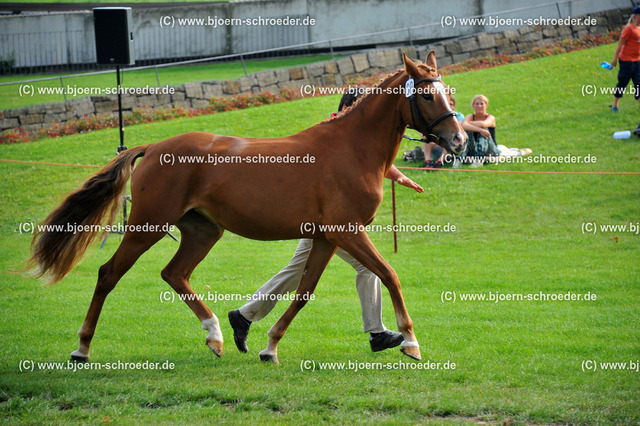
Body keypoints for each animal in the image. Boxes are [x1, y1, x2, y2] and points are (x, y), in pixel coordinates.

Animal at [28, 52, 464, 362]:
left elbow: (304, 292)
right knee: (108, 274)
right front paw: (409, 341)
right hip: (146, 225)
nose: (458, 140)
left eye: (452, 94)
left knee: (174, 273)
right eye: (427, 94)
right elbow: (389, 275)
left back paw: (217, 335)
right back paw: (82, 349)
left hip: (203, 230)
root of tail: (152, 148)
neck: (352, 149)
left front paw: (270, 346)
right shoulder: (347, 231)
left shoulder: (327, 237)